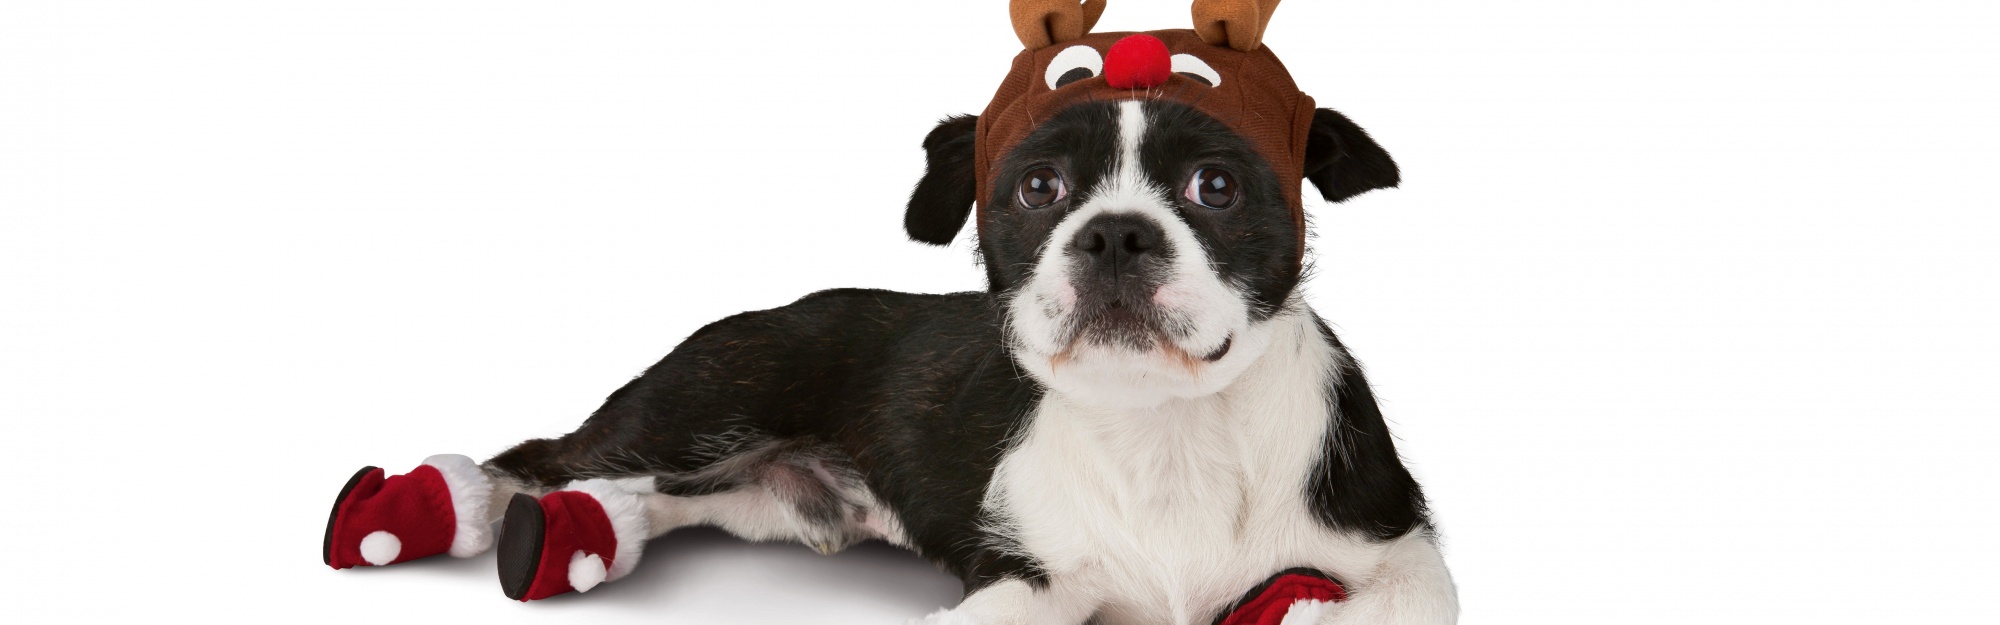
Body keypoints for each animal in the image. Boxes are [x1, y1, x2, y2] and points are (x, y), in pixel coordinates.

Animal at [320, 2, 1464, 620]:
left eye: (1215, 187)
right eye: (1037, 187)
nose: (1114, 234)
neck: (1165, 429)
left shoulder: (1398, 545)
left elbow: (1401, 596)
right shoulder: (1024, 576)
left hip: (754, 496)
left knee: (650, 498)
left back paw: (581, 535)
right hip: (695, 403)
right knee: (540, 455)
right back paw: (448, 507)